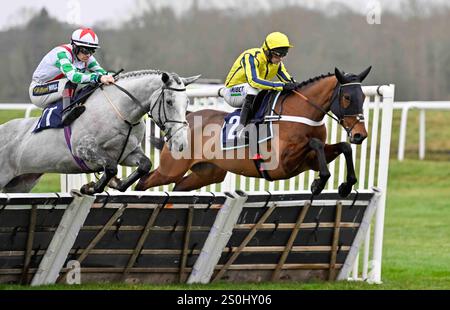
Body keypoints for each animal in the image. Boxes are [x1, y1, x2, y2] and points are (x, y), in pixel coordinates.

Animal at [0, 70, 200, 194]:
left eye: (187, 103)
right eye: (169, 102)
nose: (181, 144)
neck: (121, 113)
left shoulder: (126, 153)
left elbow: (145, 165)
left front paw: (117, 183)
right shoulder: (84, 151)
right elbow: (110, 168)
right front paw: (91, 187)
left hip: (20, 184)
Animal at [135, 67, 370, 197]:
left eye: (363, 97)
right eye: (347, 98)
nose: (360, 134)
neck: (299, 113)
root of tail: (187, 119)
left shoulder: (308, 162)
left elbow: (343, 147)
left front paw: (345, 185)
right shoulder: (280, 164)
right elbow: (315, 143)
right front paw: (319, 182)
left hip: (208, 173)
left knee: (177, 188)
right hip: (171, 168)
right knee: (145, 182)